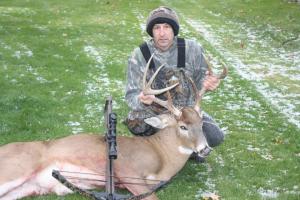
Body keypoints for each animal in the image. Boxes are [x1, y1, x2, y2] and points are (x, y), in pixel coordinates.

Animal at [0, 54, 226, 200]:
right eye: (183, 126)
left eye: (201, 122)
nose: (205, 149)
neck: (162, 156)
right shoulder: (127, 169)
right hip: (15, 168)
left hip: (24, 188)